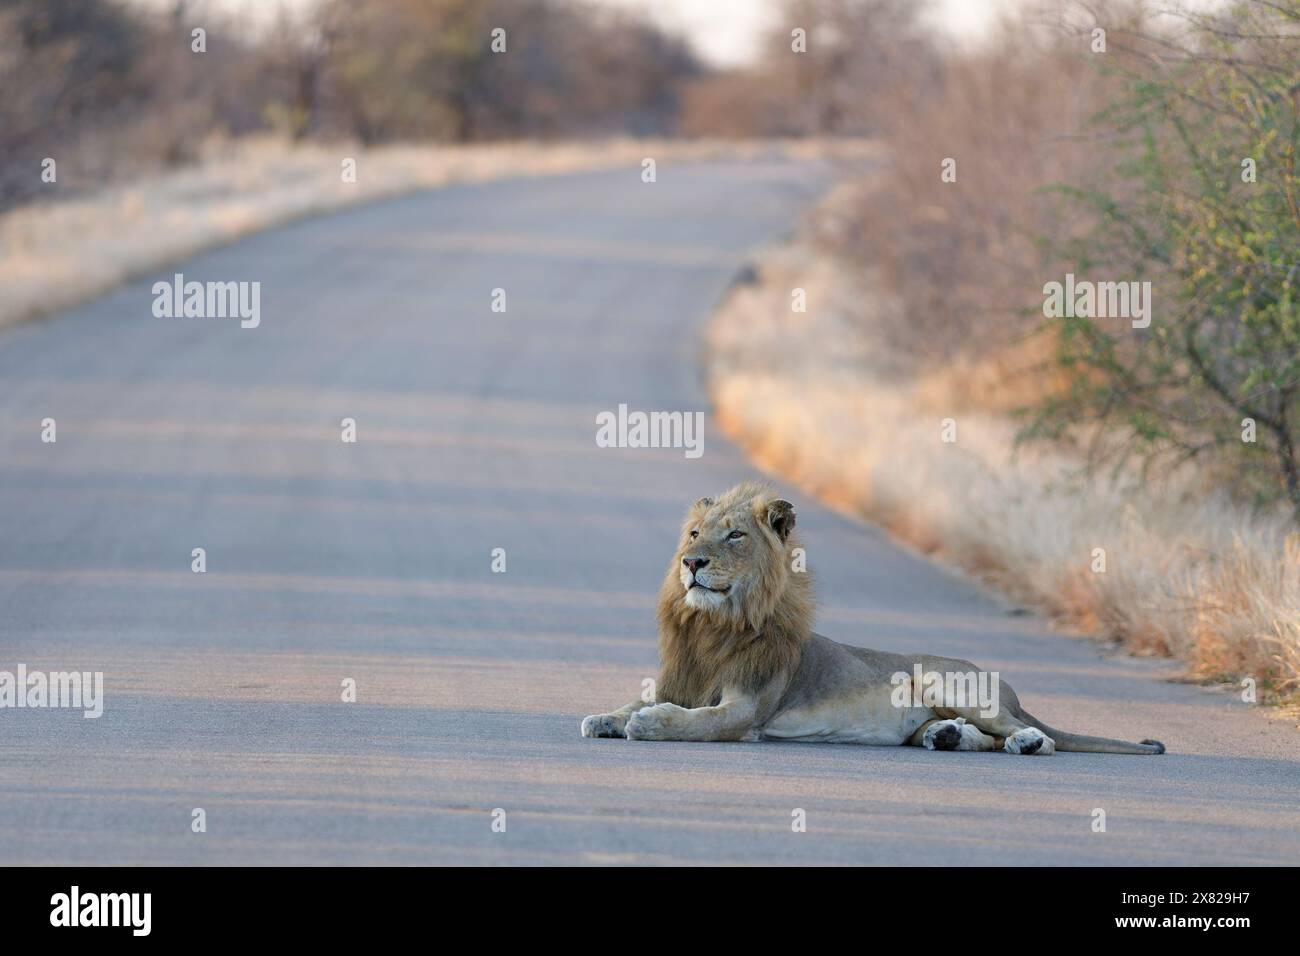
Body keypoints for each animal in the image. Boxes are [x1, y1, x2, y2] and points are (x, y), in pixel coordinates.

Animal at [581, 481, 1166, 755]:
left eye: (735, 535)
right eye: (695, 533)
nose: (691, 563)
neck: (714, 625)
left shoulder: (745, 712)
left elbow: (691, 720)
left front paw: (648, 724)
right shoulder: (681, 680)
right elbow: (632, 701)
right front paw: (605, 717)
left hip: (945, 680)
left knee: (1034, 734)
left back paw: (1020, 741)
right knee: (975, 735)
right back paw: (946, 737)